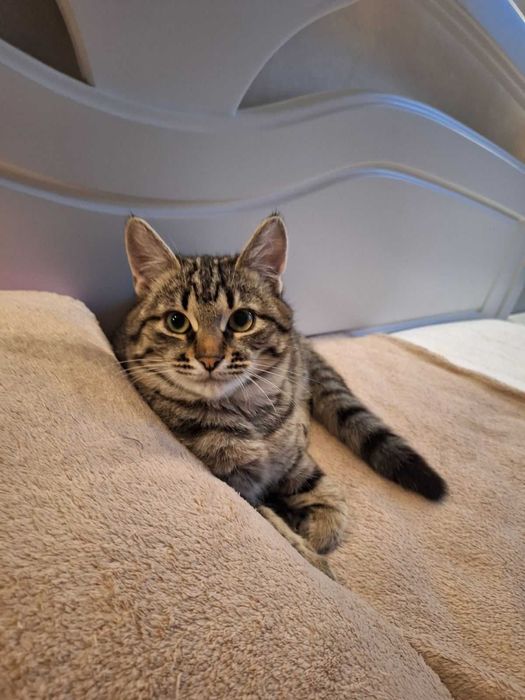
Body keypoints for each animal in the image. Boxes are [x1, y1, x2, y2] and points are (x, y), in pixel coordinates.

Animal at [114, 214, 446, 578]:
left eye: (242, 319)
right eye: (176, 321)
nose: (209, 358)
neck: (248, 414)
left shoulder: (296, 462)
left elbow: (332, 501)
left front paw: (313, 534)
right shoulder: (238, 488)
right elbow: (278, 526)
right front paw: (312, 554)